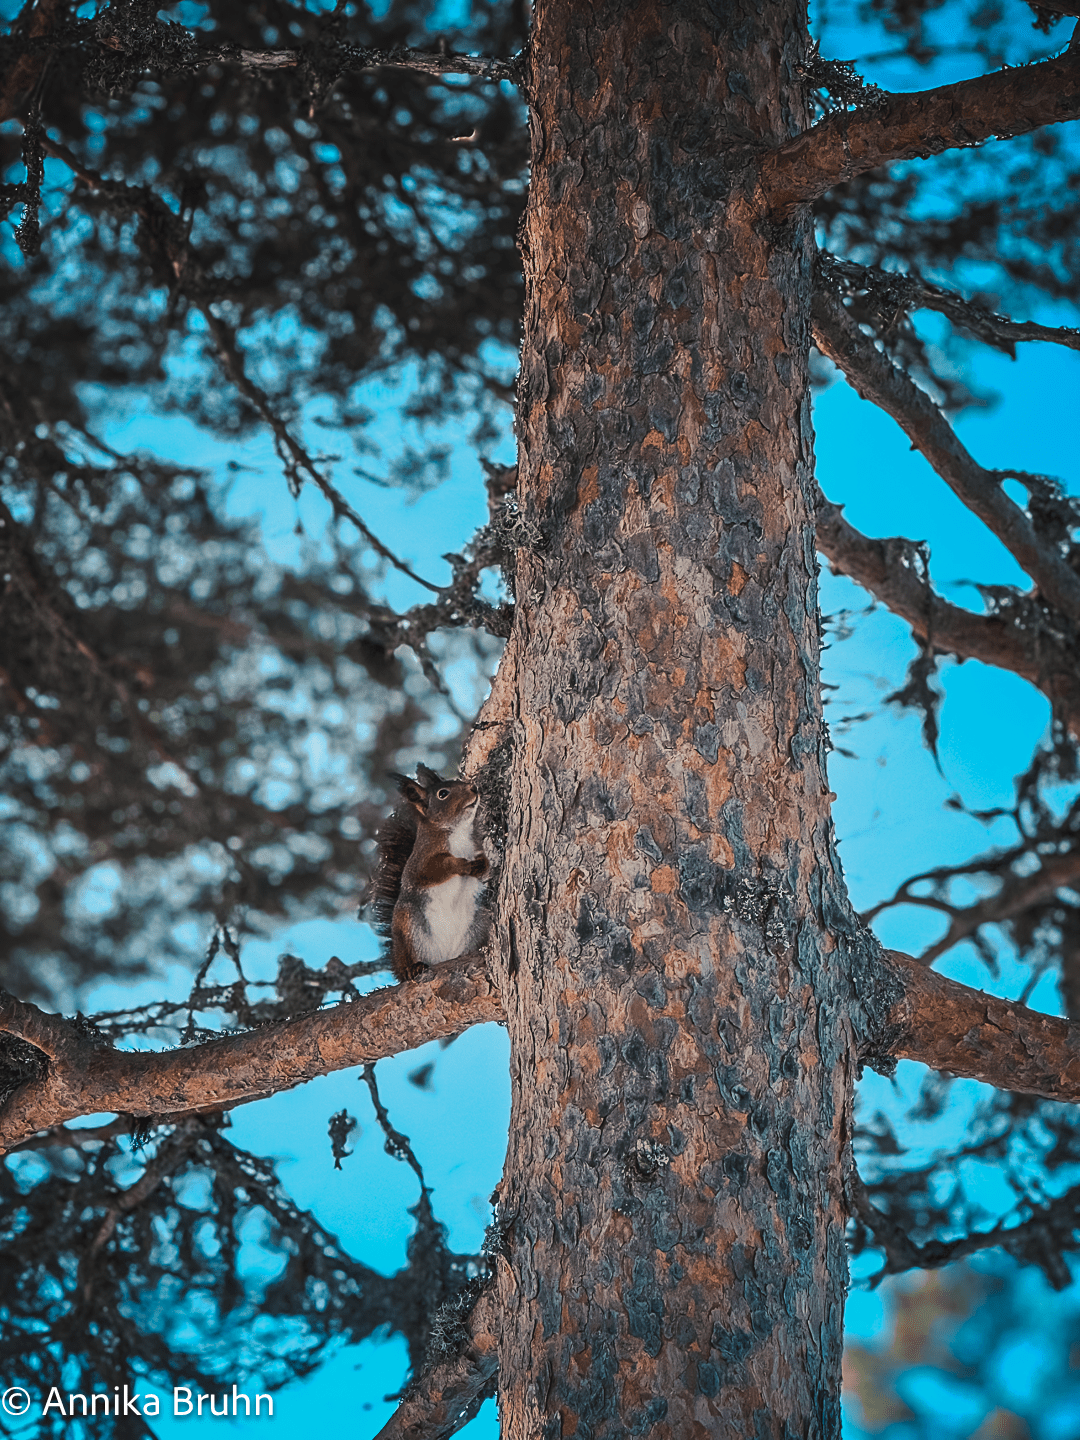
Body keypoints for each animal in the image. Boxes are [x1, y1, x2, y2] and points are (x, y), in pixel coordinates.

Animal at [368, 765, 491, 982]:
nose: (474, 788)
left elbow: (485, 866)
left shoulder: (476, 848)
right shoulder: (419, 864)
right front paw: (460, 864)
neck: (458, 833)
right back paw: (411, 969)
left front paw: (480, 866)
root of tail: (445, 957)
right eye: (443, 794)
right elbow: (436, 868)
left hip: (482, 920)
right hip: (406, 923)